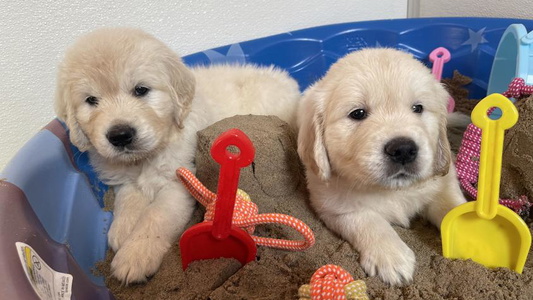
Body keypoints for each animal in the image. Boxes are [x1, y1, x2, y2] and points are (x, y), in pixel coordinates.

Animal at [56, 27, 302, 284]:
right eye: (91, 100)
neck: (146, 157)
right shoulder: (124, 180)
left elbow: (155, 217)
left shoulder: (178, 182)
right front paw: (122, 230)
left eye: (141, 90)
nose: (120, 135)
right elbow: (129, 199)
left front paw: (135, 256)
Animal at [298, 48, 468, 286]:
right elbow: (369, 221)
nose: (403, 149)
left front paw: (471, 234)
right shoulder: (333, 205)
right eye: (358, 113)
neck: (391, 190)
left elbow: (452, 205)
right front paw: (391, 257)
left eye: (418, 108)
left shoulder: (444, 180)